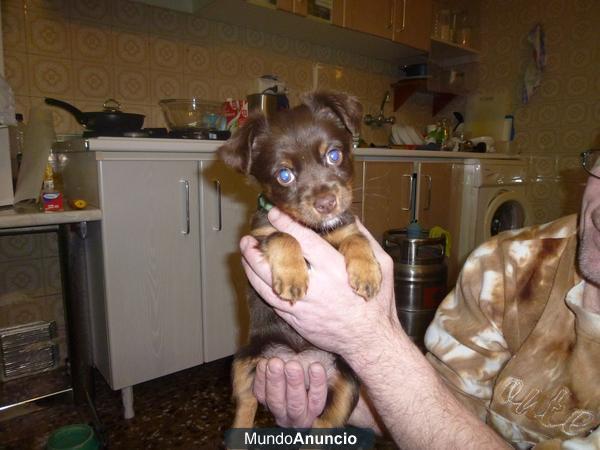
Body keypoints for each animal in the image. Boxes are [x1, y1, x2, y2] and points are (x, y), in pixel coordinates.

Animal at [218, 90, 382, 428]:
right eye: (284, 175)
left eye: (334, 155)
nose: (326, 203)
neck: (316, 230)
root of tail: (300, 361)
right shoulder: (260, 235)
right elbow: (285, 236)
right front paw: (293, 277)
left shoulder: (344, 226)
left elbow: (356, 238)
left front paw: (367, 273)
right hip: (243, 359)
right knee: (246, 404)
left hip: (348, 379)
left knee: (326, 423)